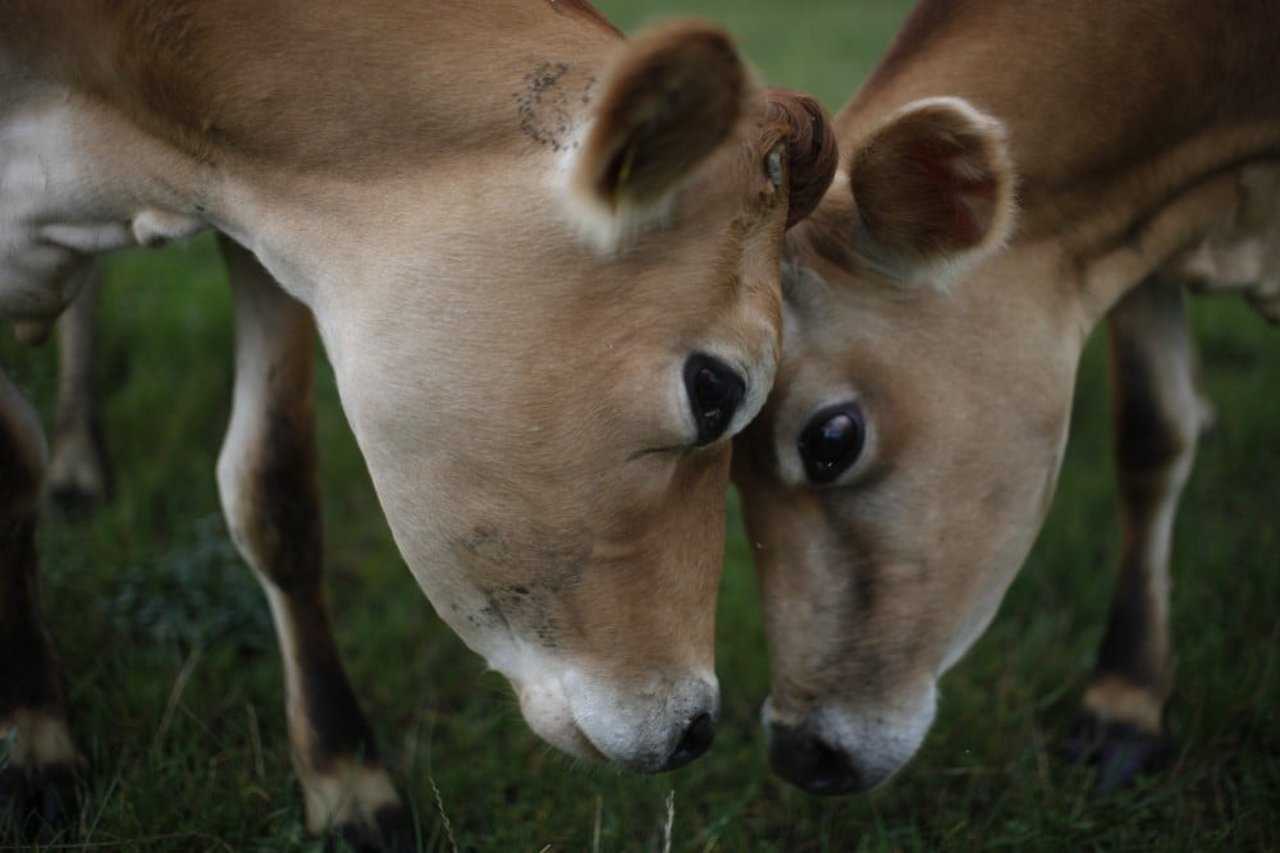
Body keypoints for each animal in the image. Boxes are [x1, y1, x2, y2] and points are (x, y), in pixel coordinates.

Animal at [2, 0, 839, 840]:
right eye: (714, 388)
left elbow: (274, 491)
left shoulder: (258, 230)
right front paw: (35, 737)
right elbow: (15, 463)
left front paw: (343, 776)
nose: (698, 725)